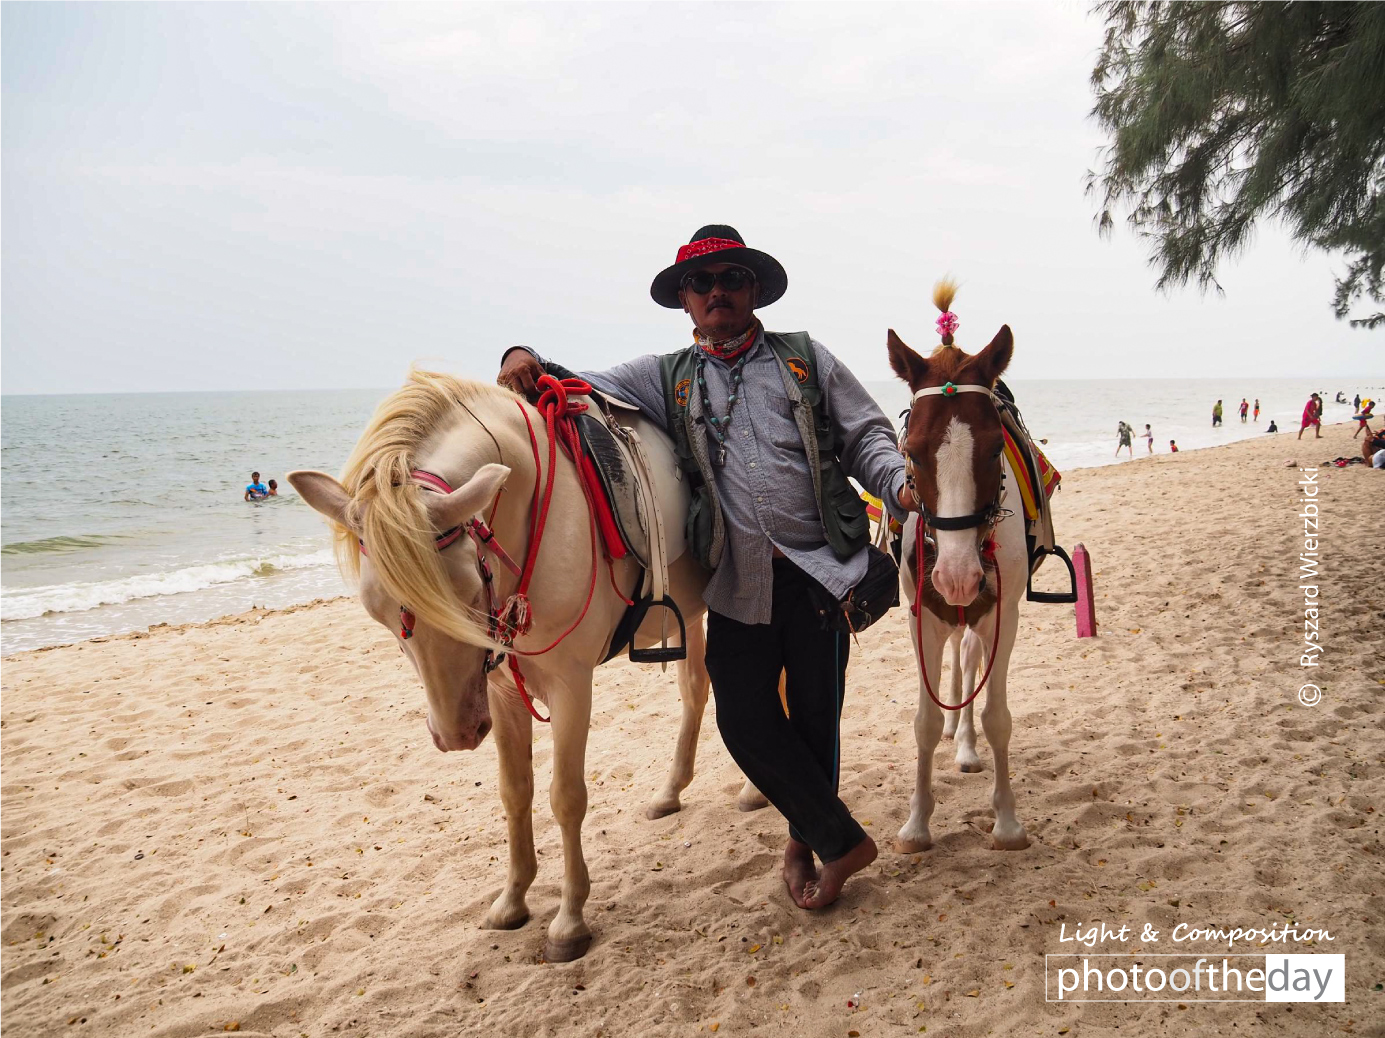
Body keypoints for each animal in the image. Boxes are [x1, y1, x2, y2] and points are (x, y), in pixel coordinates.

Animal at [886, 315, 1030, 848]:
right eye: (913, 451)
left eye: (994, 450)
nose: (957, 576)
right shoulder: (922, 617)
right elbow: (924, 723)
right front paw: (917, 823)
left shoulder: (1003, 616)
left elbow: (997, 718)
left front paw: (1006, 820)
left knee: (968, 657)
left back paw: (966, 743)